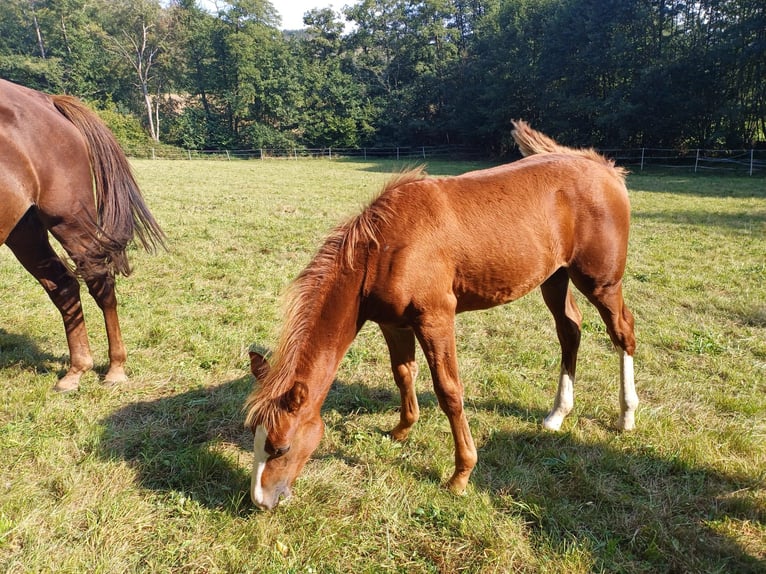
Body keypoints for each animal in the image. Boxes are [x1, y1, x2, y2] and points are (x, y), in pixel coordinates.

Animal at [0, 80, 166, 392]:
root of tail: (48, 101)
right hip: (23, 229)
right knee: (63, 286)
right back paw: (77, 370)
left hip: (69, 222)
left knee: (99, 284)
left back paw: (115, 368)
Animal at [244, 120, 636, 508]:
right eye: (254, 435)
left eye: (280, 448)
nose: (261, 501)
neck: (383, 249)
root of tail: (604, 168)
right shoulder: (393, 323)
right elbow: (403, 373)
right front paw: (402, 429)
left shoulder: (436, 319)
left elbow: (449, 391)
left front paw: (461, 475)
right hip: (555, 278)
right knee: (570, 330)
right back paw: (557, 414)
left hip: (600, 282)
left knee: (622, 332)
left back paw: (626, 416)